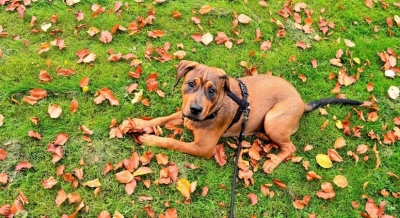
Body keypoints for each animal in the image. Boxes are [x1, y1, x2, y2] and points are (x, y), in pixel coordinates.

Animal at [132, 60, 362, 173]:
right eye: (190, 84)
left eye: (212, 90)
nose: (196, 109)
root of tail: (301, 102)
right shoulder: (183, 115)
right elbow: (162, 119)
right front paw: (138, 122)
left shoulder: (203, 148)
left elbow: (173, 142)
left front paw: (150, 139)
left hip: (272, 120)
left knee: (290, 147)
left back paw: (272, 162)